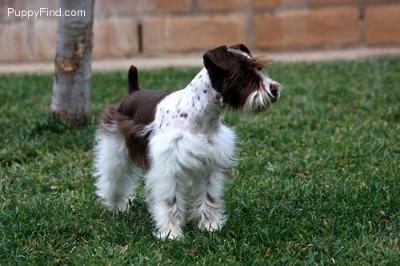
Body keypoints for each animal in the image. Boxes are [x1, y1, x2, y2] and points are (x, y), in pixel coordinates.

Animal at [94, 43, 282, 239]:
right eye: (243, 74)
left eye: (259, 69)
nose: (274, 90)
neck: (200, 114)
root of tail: (133, 92)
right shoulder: (169, 167)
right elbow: (170, 201)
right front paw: (171, 233)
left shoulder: (210, 164)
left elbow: (208, 196)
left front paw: (209, 226)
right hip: (116, 149)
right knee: (114, 179)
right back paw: (117, 206)